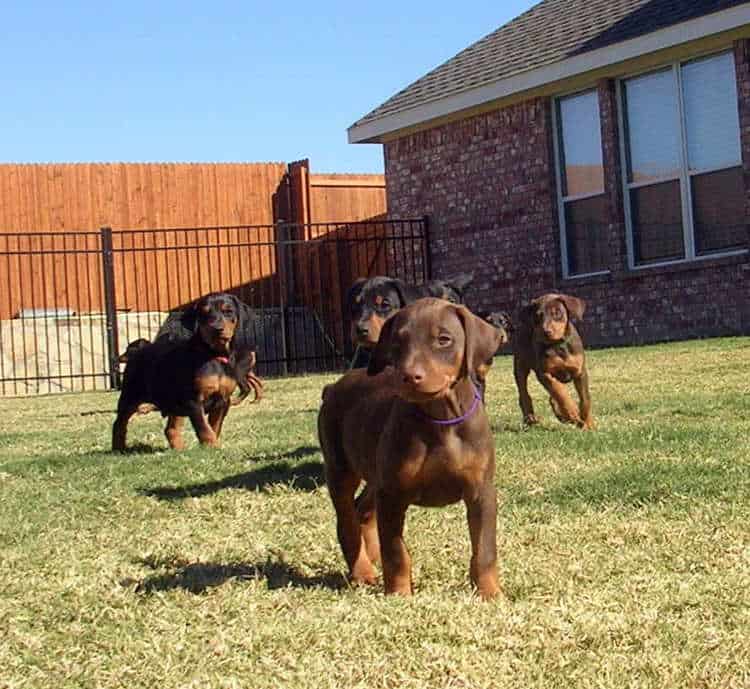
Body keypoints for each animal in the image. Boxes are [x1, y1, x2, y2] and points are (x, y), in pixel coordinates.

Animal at [318, 298, 506, 600]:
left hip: (375, 474)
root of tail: (333, 386)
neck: (440, 417)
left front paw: (490, 593)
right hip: (339, 467)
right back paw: (363, 571)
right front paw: (398, 594)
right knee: (346, 519)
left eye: (444, 339)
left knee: (364, 510)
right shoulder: (393, 493)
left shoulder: (481, 492)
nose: (409, 377)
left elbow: (484, 550)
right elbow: (396, 551)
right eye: (397, 342)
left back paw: (372, 556)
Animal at [516, 292, 596, 430]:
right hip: (520, 365)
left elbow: (585, 399)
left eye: (557, 313)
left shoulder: (580, 372)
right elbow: (559, 392)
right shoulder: (544, 373)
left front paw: (588, 423)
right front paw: (572, 410)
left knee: (552, 398)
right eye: (537, 317)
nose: (546, 332)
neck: (558, 344)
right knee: (524, 394)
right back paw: (530, 419)